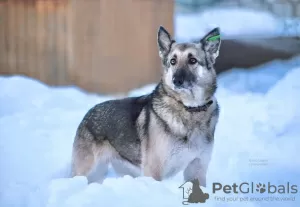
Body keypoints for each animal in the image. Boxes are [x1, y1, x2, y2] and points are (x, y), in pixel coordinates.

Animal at [70, 25, 220, 186]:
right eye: (173, 61)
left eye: (192, 60)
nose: (177, 80)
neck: (190, 109)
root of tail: (89, 113)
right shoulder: (154, 171)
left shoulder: (196, 170)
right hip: (86, 171)